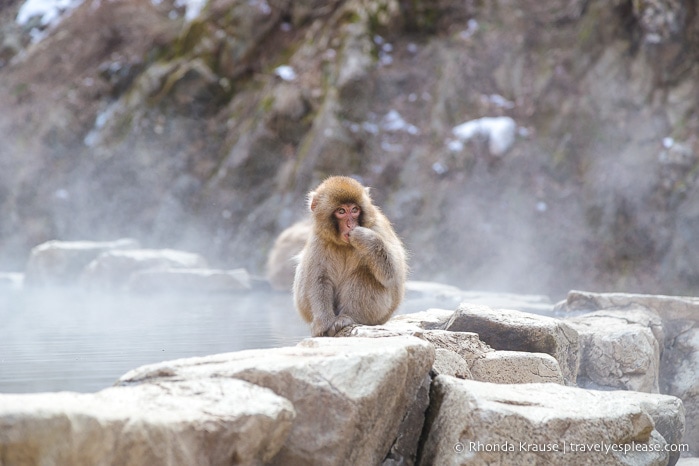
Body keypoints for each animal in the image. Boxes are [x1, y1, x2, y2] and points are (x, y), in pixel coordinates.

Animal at [292, 177, 410, 336]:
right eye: (341, 211)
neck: (344, 244)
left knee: (364, 274)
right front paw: (323, 323)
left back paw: (348, 318)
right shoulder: (319, 238)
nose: (350, 225)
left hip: (378, 315)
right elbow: (318, 278)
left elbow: (394, 274)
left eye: (354, 210)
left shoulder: (378, 226)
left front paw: (364, 237)